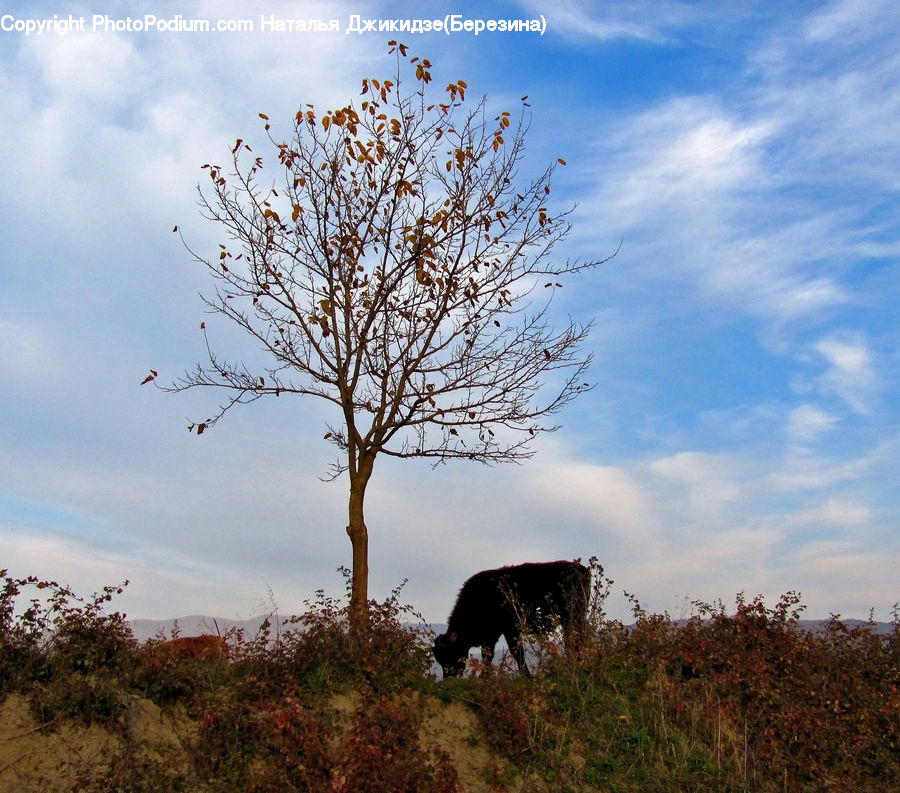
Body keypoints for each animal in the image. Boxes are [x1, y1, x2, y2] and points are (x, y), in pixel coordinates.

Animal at [433, 560, 590, 677]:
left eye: (449, 655)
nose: (449, 678)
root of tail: (583, 570)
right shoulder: (492, 636)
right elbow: (487, 656)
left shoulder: (510, 630)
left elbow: (516, 652)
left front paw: (527, 677)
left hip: (573, 618)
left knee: (576, 641)